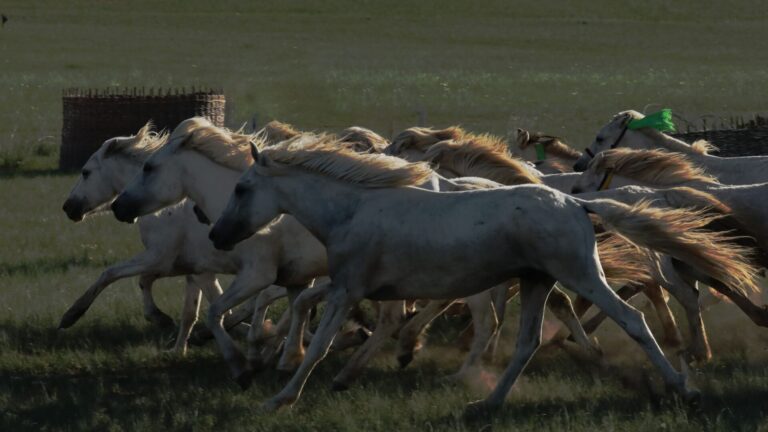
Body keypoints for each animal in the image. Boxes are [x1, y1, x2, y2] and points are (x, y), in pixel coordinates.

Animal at [210, 136, 757, 413]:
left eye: (241, 188)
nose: (216, 234)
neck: (351, 210)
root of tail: (577, 204)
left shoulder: (348, 288)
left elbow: (320, 343)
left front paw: (279, 396)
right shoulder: (358, 290)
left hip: (579, 275)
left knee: (633, 321)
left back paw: (685, 388)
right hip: (538, 282)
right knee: (527, 343)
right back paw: (486, 405)